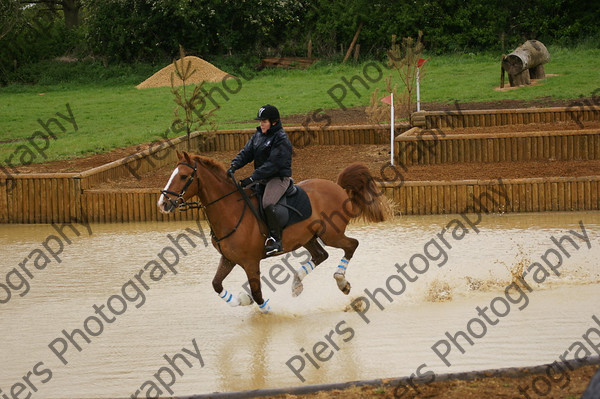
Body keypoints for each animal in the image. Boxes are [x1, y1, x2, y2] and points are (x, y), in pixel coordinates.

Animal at [158, 152, 390, 314]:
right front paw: (242, 300)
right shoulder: (228, 259)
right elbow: (216, 285)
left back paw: (342, 282)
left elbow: (259, 294)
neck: (230, 210)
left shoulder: (250, 262)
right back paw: (297, 284)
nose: (163, 203)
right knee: (320, 255)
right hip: (307, 238)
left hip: (331, 234)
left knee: (351, 245)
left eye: (184, 176)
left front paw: (268, 313)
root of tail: (338, 187)